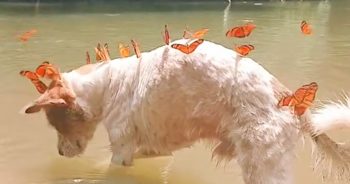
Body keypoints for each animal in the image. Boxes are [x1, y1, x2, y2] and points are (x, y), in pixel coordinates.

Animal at [22, 40, 350, 184]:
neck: (108, 83)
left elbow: (105, 167)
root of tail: (291, 100)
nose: (60, 153)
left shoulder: (122, 151)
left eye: (56, 125)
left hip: (263, 169)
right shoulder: (155, 149)